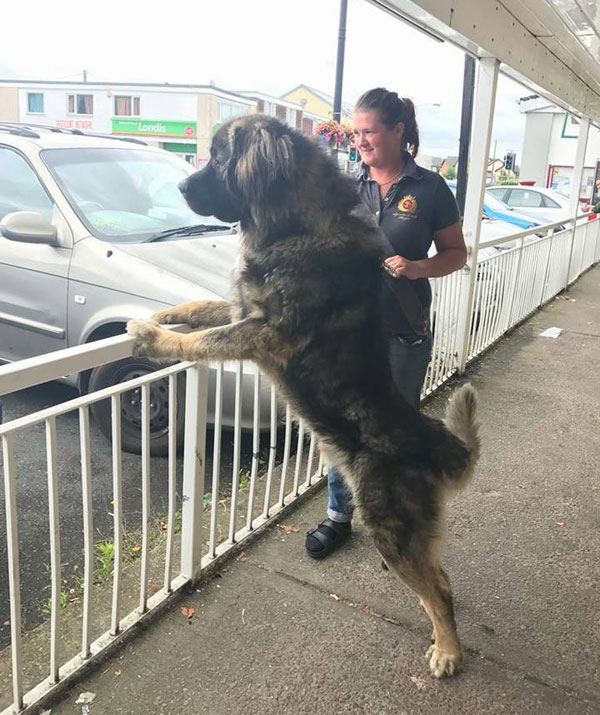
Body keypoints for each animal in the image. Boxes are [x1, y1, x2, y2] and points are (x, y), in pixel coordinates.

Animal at [127, 114, 482, 680]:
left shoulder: (264, 333)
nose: (180, 186)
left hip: (391, 527)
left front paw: (153, 336)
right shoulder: (244, 310)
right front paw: (162, 313)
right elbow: (202, 306)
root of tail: (439, 443)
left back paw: (448, 650)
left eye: (220, 158)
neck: (295, 224)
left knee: (441, 592)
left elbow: (202, 340)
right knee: (440, 582)